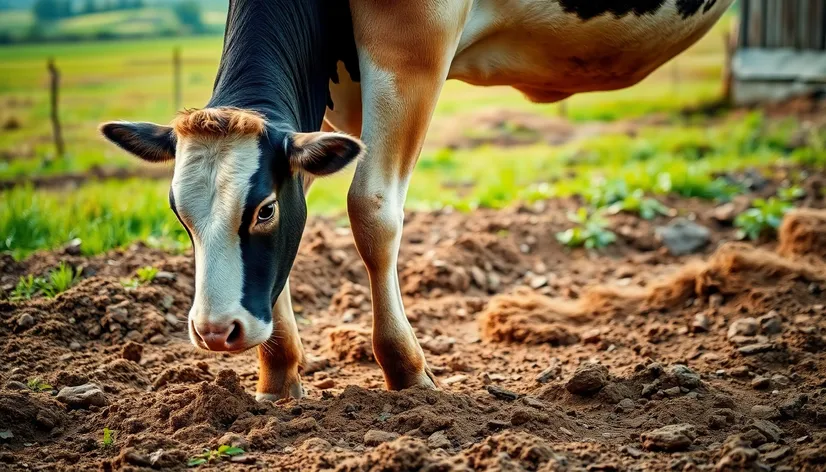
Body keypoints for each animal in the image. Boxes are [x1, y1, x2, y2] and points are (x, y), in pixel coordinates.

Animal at [98, 0, 732, 400]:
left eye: (264, 210)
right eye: (179, 215)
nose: (215, 331)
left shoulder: (412, 42)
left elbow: (371, 210)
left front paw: (405, 370)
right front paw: (278, 373)